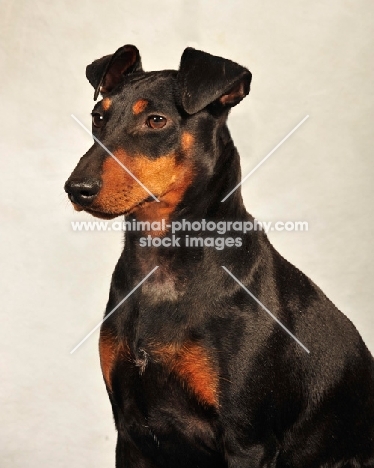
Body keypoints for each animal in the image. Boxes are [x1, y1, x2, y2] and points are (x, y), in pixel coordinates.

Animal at [65, 44, 374, 468]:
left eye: (156, 120)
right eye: (98, 116)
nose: (76, 188)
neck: (161, 263)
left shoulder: (247, 440)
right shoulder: (129, 433)